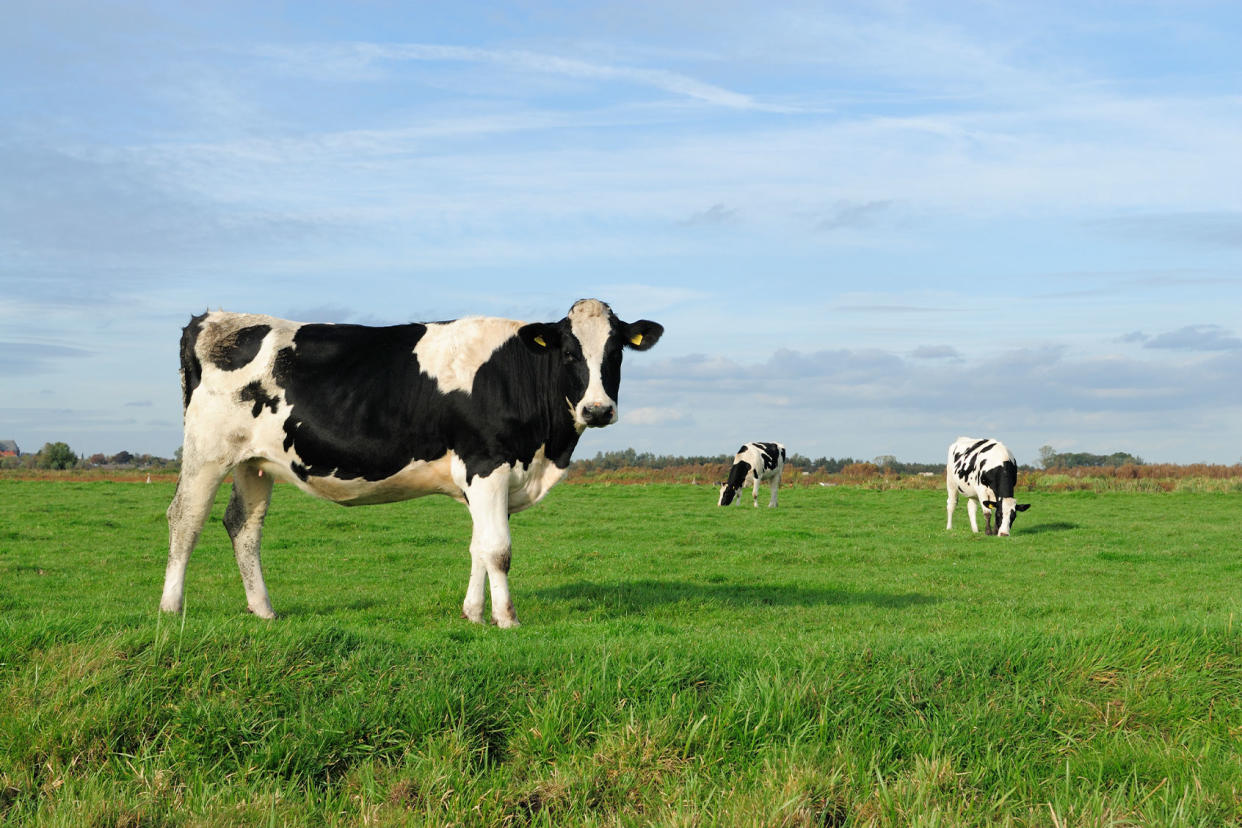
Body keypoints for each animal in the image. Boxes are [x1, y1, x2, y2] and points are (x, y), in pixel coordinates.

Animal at [161, 297, 665, 628]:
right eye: (569, 352)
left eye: (616, 352)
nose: (597, 410)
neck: (545, 451)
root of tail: (212, 318)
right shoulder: (487, 464)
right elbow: (498, 549)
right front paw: (507, 620)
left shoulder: (479, 479)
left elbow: (478, 546)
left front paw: (473, 614)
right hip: (207, 451)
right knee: (186, 519)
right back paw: (171, 608)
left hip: (254, 461)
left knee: (243, 526)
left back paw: (263, 610)